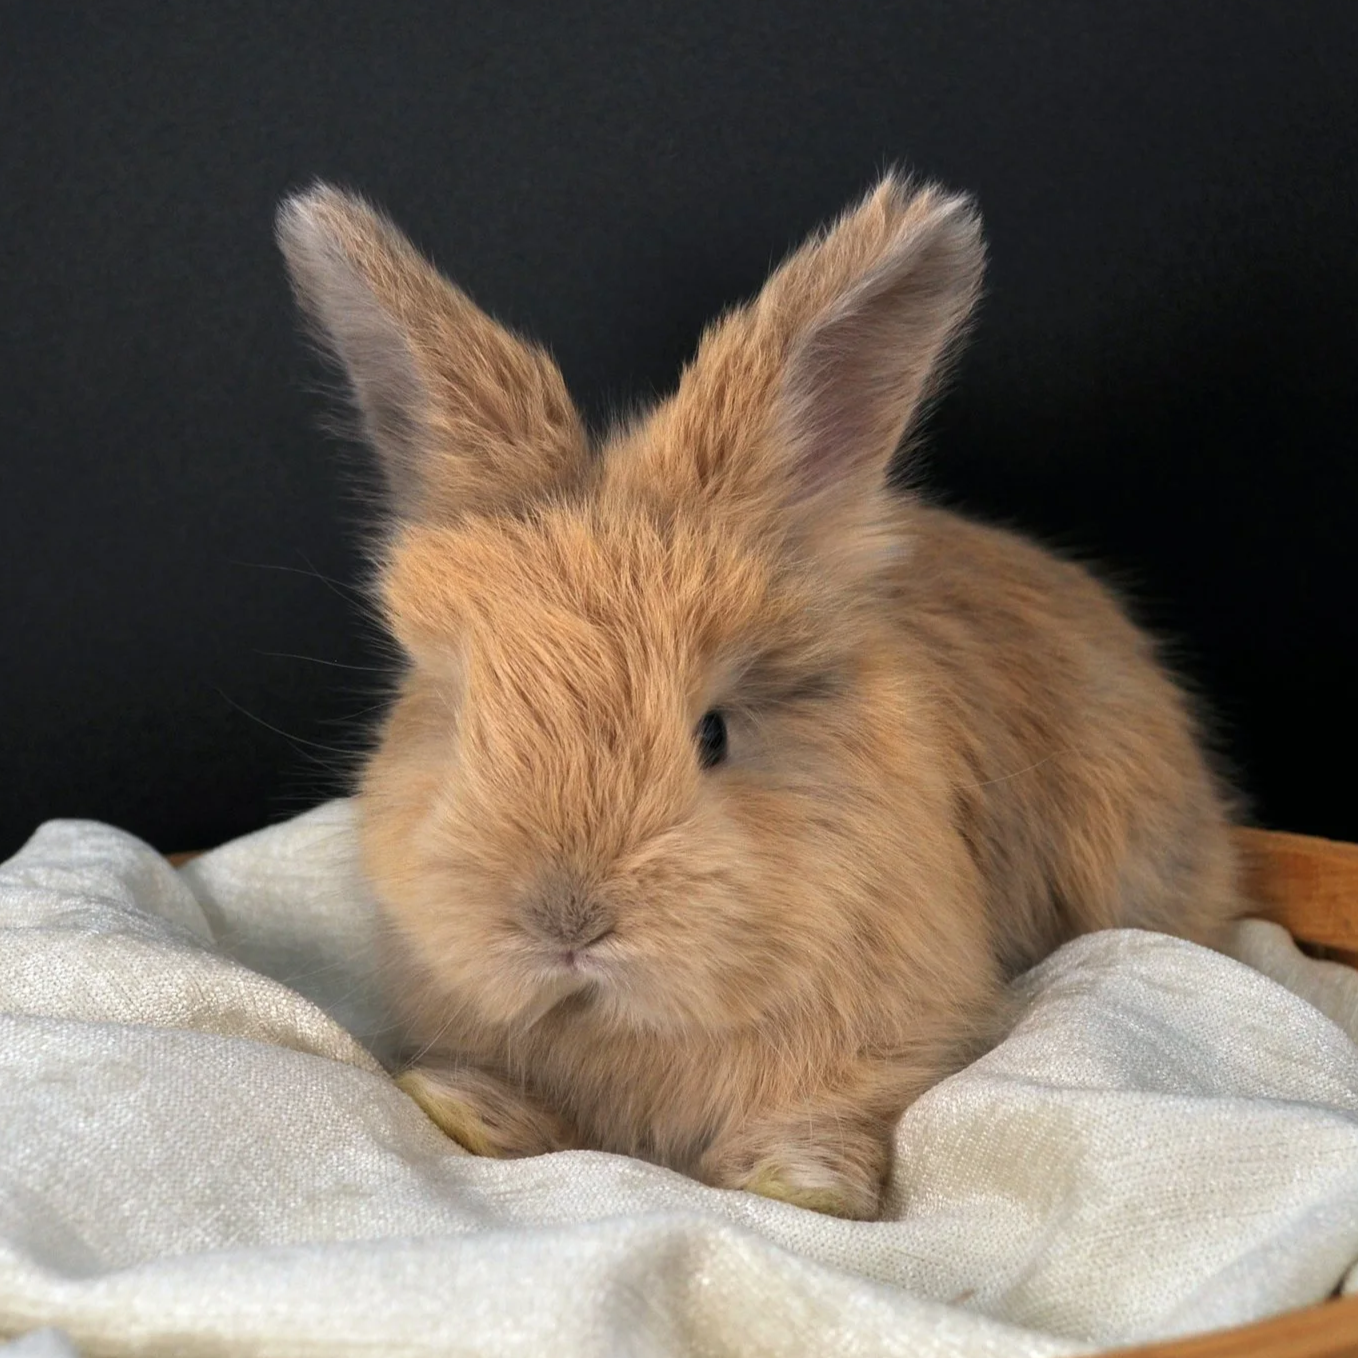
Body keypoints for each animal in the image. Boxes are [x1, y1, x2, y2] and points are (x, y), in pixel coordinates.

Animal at [276, 172, 1243, 1220]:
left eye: (715, 735)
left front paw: (800, 1182)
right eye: (460, 723)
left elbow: (843, 1106)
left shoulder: (907, 1021)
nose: (566, 925)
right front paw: (464, 1108)